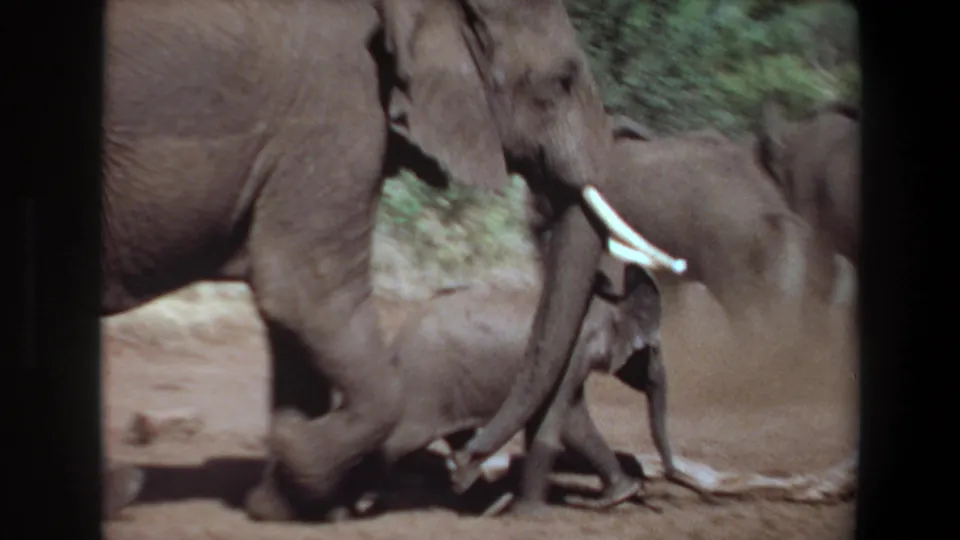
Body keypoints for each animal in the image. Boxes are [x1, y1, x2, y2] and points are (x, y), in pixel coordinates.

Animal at [101, 0, 683, 522]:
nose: (468, 467)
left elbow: (290, 318)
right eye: (561, 80)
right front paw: (302, 464)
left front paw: (283, 502)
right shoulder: (338, 108)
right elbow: (305, 294)